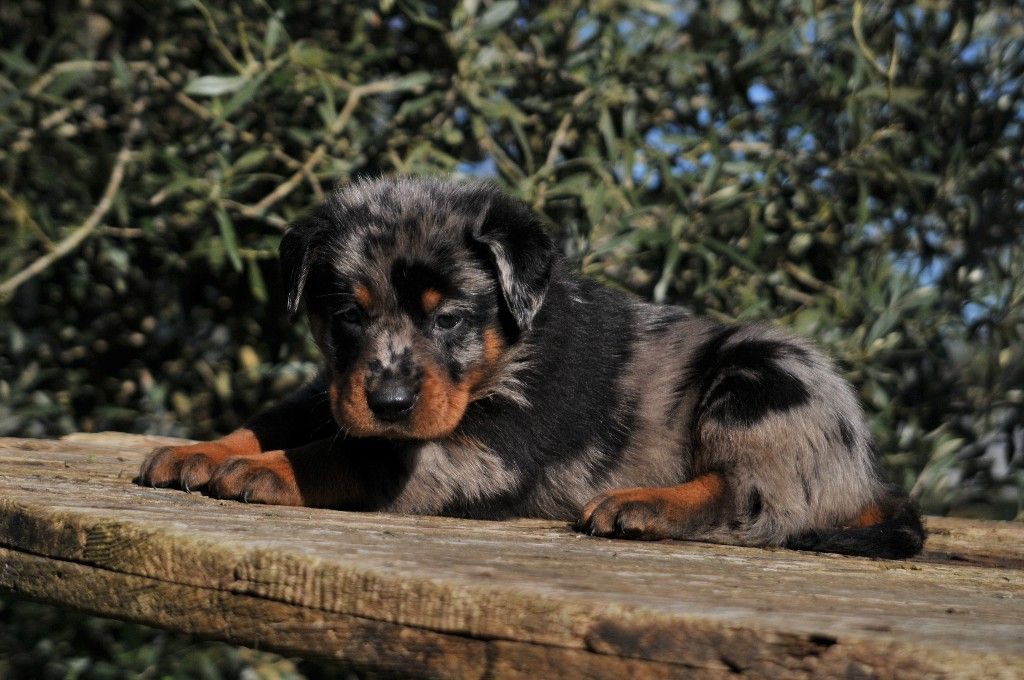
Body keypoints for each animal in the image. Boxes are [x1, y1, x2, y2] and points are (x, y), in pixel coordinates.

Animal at [138, 177, 925, 558]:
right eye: (348, 316)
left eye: (449, 318)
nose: (388, 403)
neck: (513, 347)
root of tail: (867, 474)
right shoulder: (334, 391)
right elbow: (282, 421)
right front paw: (198, 450)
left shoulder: (474, 452)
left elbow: (338, 457)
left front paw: (257, 470)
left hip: (767, 373)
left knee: (760, 503)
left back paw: (642, 505)